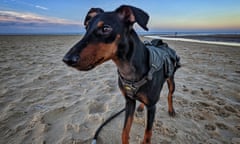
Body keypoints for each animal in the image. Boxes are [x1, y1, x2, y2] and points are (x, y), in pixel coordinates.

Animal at [63, 4, 180, 144]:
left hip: (171, 80)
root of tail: (165, 45)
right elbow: (124, 132)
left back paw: (171, 110)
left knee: (169, 95)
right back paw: (141, 106)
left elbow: (147, 135)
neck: (128, 70)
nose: (67, 59)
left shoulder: (152, 106)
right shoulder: (129, 102)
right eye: (86, 28)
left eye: (106, 28)